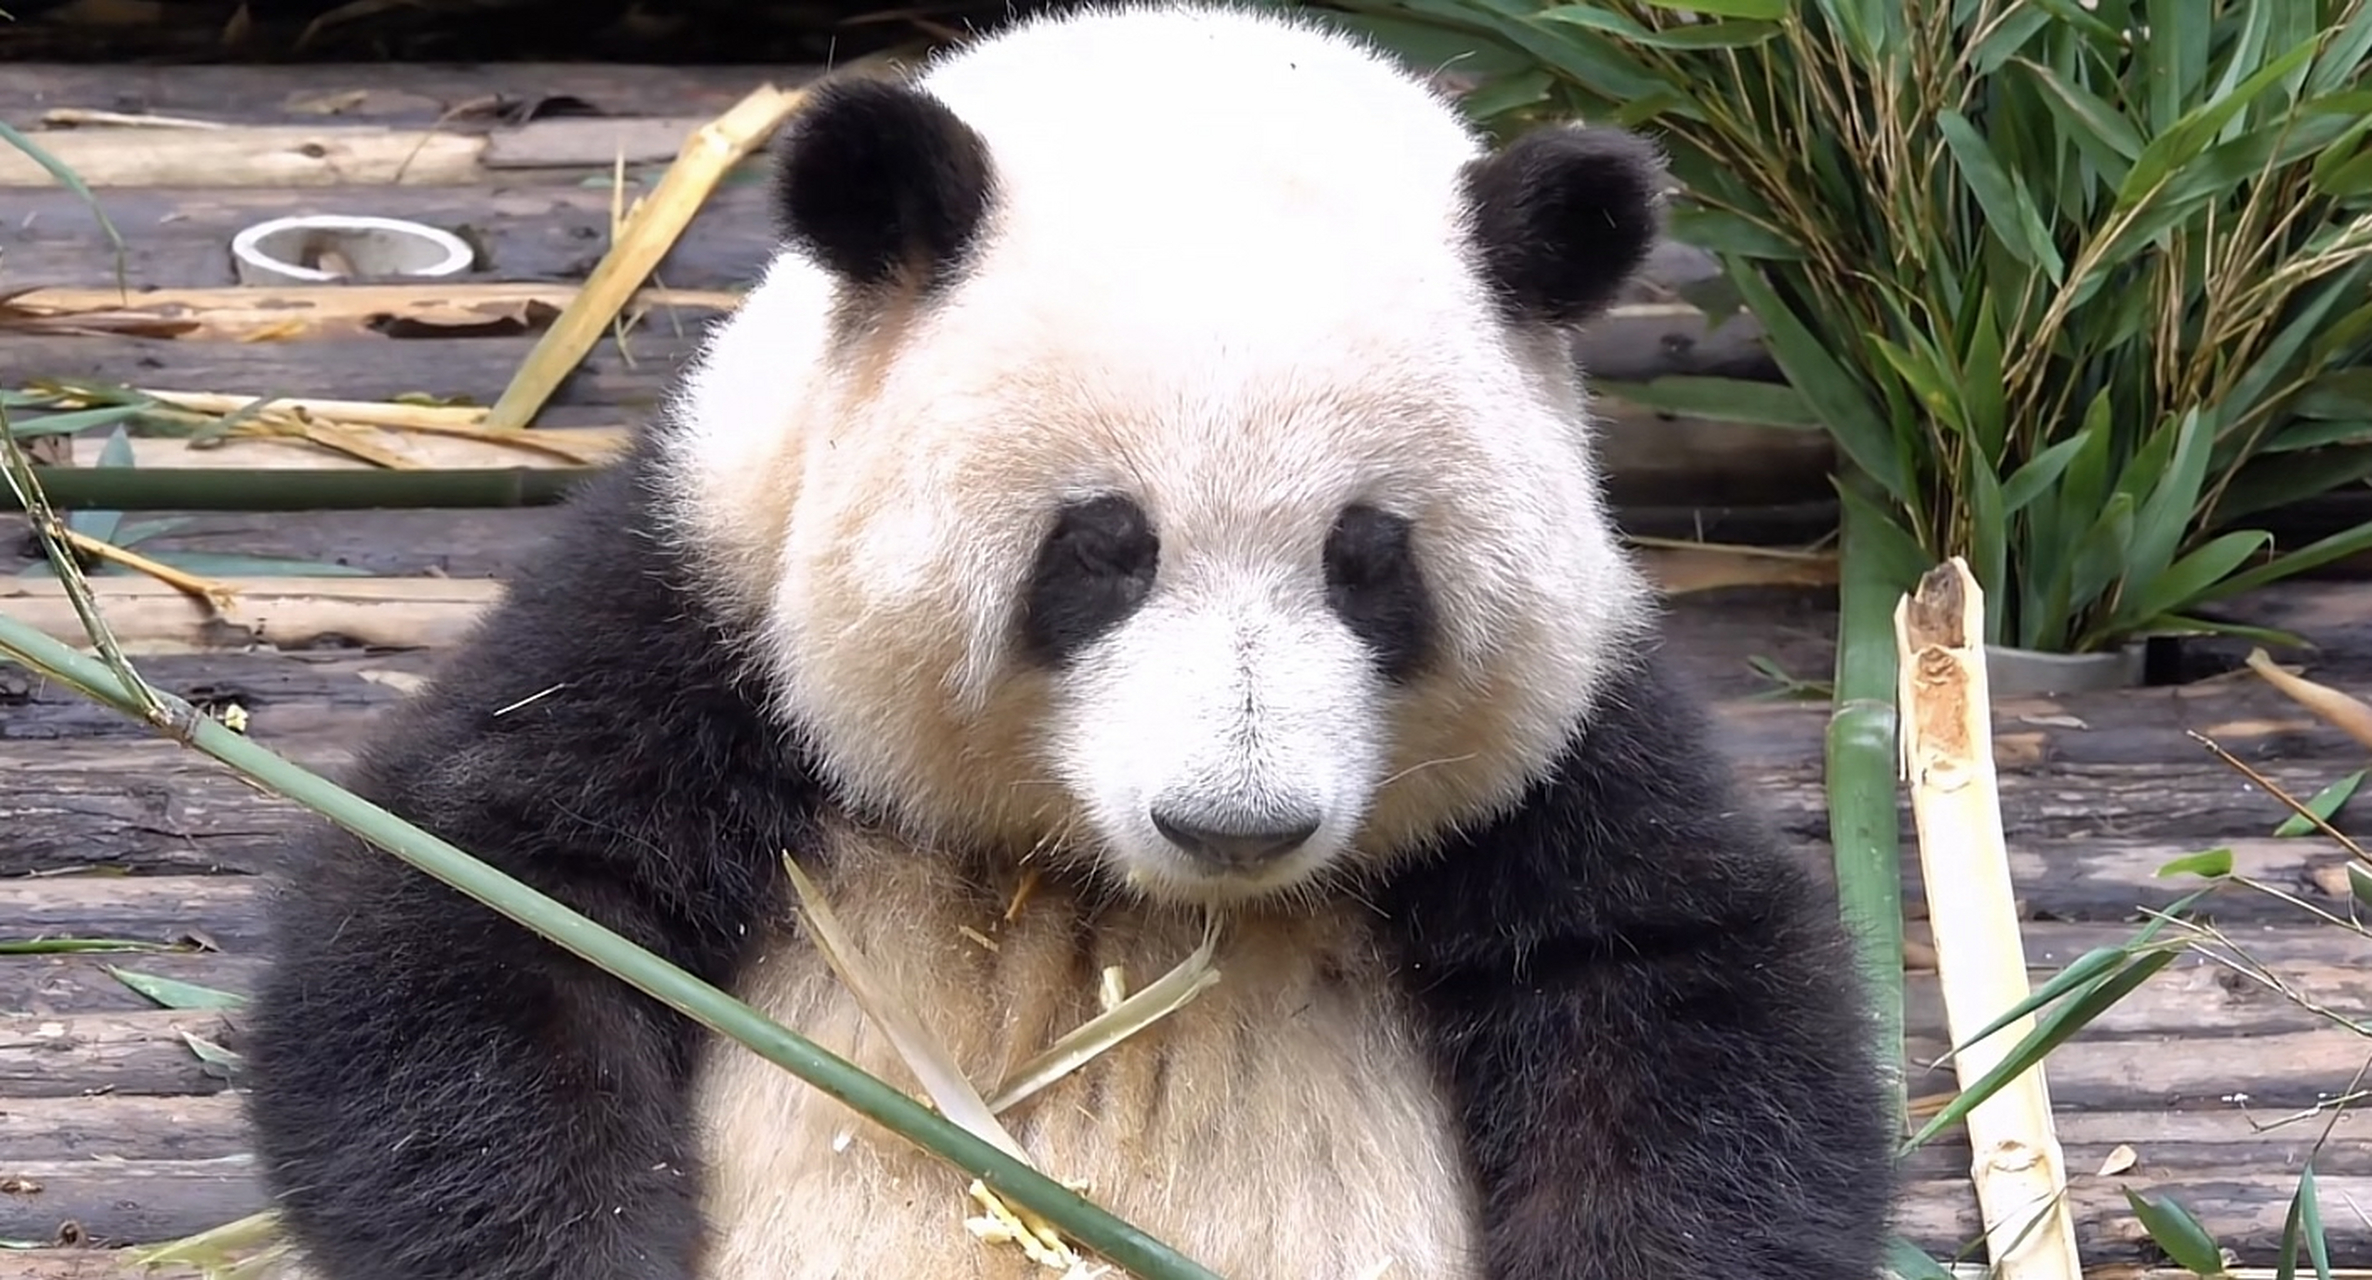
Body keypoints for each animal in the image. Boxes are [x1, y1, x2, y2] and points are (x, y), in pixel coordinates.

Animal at [240, 5, 1897, 1270]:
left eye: (1370, 563)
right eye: (1104, 551)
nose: (1235, 824)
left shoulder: (1578, 728)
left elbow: (1674, 987)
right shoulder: (703, 604)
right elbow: (490, 898)